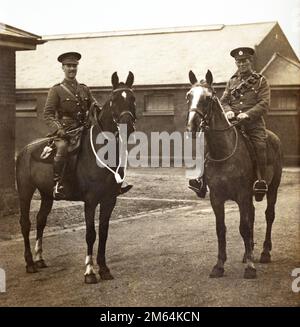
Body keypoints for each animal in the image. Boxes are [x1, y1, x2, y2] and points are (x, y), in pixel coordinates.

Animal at [17, 72, 137, 284]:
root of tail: (25, 150)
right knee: (26, 223)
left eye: (133, 98)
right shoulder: (90, 201)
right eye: (113, 99)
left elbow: (104, 233)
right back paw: (30, 263)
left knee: (40, 220)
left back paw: (40, 259)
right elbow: (91, 233)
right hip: (25, 191)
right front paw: (89, 272)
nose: (127, 126)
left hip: (47, 194)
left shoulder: (109, 200)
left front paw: (104, 269)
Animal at [185, 70, 282, 280]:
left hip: (273, 189)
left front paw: (251, 268)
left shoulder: (242, 195)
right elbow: (221, 229)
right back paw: (248, 253)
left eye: (208, 98)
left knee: (269, 215)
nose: (191, 127)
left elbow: (244, 227)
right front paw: (219, 265)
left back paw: (264, 252)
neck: (223, 152)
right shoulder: (216, 198)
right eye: (188, 96)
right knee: (252, 216)